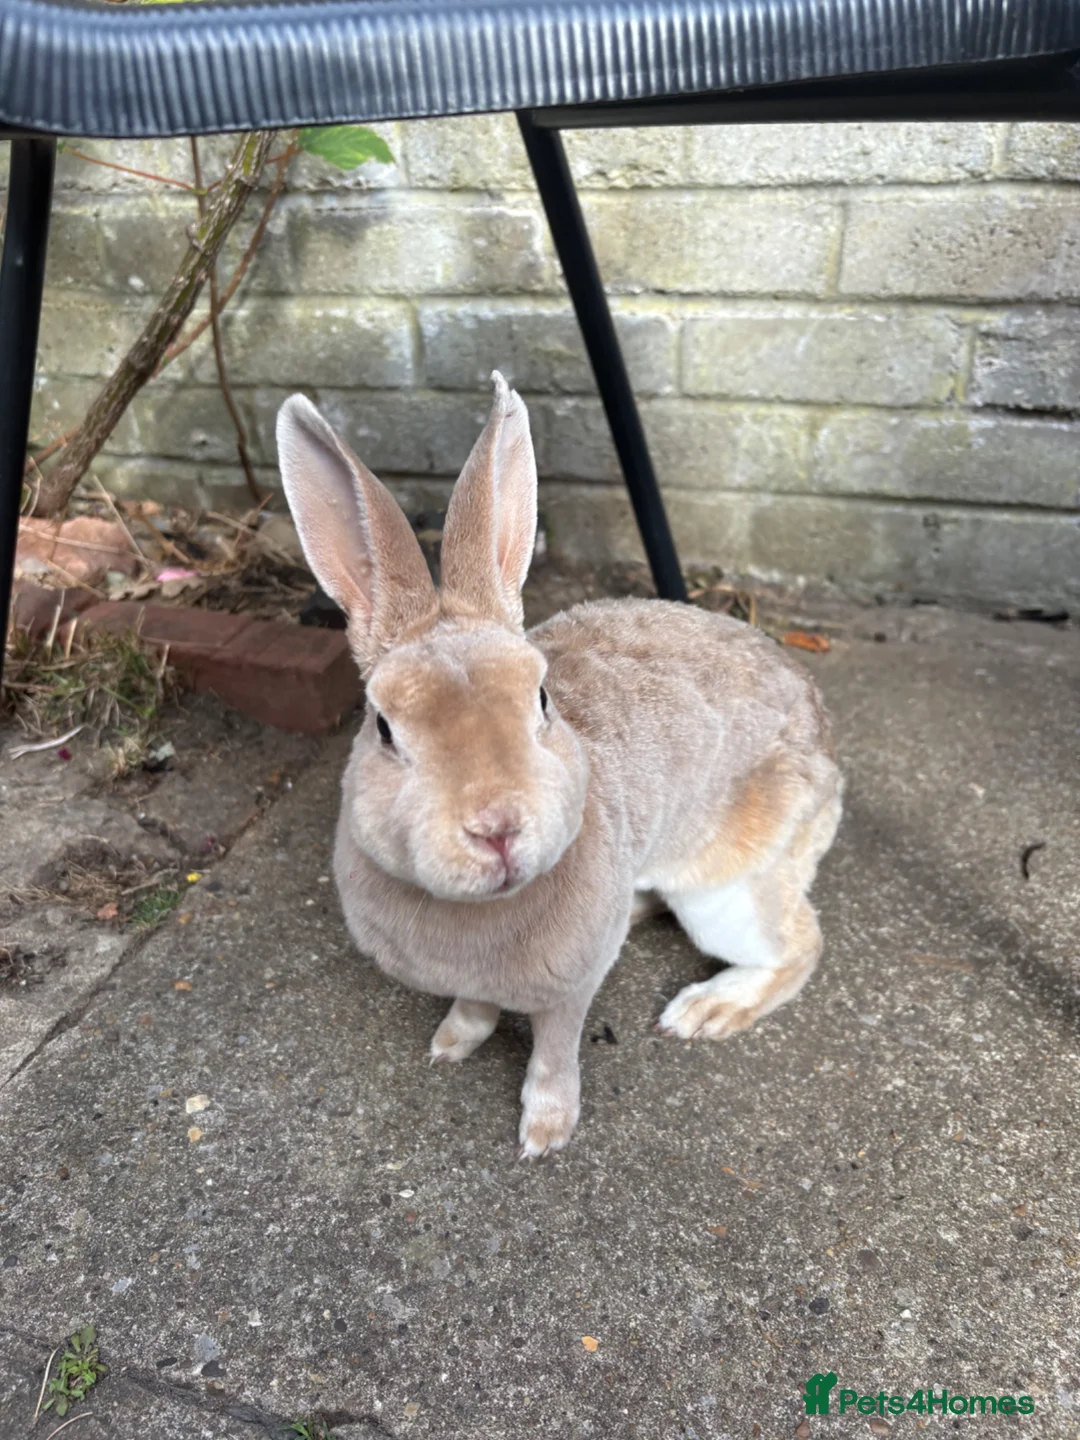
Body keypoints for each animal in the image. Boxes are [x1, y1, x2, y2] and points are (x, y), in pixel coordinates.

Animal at [276, 372, 842, 1157]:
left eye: (541, 699)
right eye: (384, 728)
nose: (496, 828)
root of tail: (827, 747)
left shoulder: (568, 988)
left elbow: (554, 1051)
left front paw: (544, 1134)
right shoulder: (477, 978)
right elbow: (475, 1007)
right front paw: (451, 1045)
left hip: (728, 893)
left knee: (799, 944)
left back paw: (707, 1010)